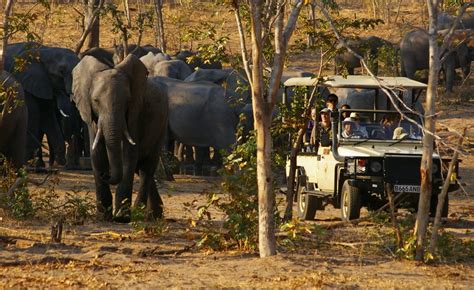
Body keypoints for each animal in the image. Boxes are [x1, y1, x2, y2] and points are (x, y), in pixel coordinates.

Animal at [73, 54, 169, 222]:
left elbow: (128, 156)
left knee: (147, 168)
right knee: (141, 168)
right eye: (96, 101)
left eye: (128, 101)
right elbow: (97, 154)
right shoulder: (91, 117)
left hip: (161, 126)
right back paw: (154, 215)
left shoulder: (135, 114)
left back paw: (139, 213)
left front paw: (121, 218)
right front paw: (103, 217)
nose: (105, 175)